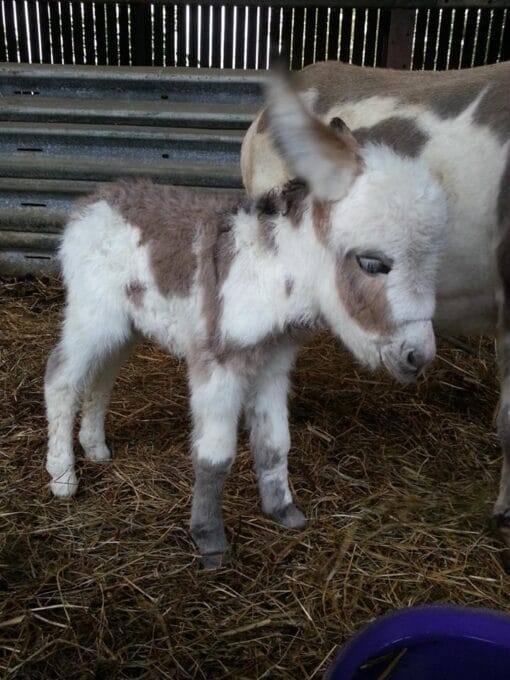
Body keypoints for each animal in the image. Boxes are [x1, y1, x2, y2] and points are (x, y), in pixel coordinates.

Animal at [46, 73, 446, 564]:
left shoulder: (272, 362)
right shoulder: (219, 364)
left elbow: (275, 443)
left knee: (101, 376)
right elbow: (214, 456)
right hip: (92, 313)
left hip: (124, 324)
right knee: (61, 377)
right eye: (373, 263)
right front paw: (210, 542)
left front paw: (284, 512)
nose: (419, 357)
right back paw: (63, 478)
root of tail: (93, 200)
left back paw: (96, 447)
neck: (276, 272)